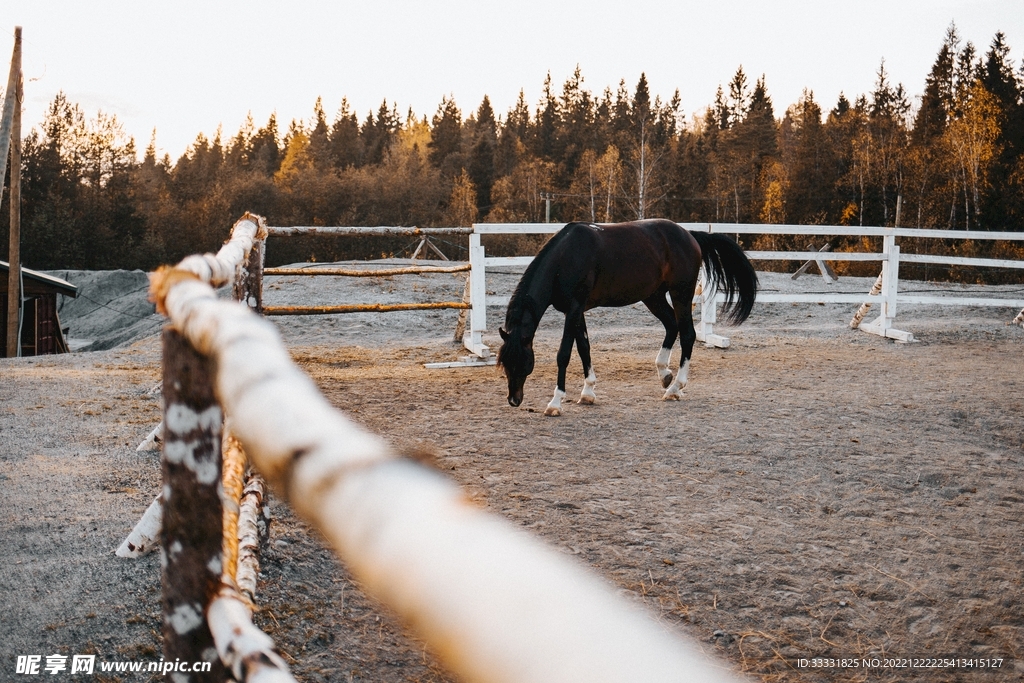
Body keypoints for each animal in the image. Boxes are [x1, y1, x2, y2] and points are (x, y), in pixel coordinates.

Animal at [496, 219, 757, 416]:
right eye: (505, 363)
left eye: (523, 361)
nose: (514, 400)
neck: (566, 258)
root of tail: (689, 235)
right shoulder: (577, 311)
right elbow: (584, 348)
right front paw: (588, 392)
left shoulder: (574, 309)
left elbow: (564, 354)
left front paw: (555, 403)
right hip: (653, 296)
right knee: (672, 326)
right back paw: (664, 374)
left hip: (680, 293)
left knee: (687, 335)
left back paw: (675, 388)